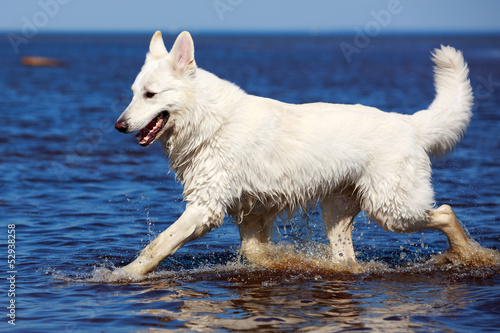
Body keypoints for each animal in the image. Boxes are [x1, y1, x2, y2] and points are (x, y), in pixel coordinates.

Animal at [115, 31, 494, 274]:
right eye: (133, 93)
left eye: (150, 94)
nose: (119, 125)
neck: (210, 120)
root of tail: (409, 123)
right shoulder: (249, 211)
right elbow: (255, 253)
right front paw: (287, 262)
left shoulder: (204, 208)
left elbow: (159, 244)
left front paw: (124, 275)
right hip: (338, 213)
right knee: (346, 259)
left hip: (392, 209)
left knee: (445, 212)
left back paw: (472, 254)